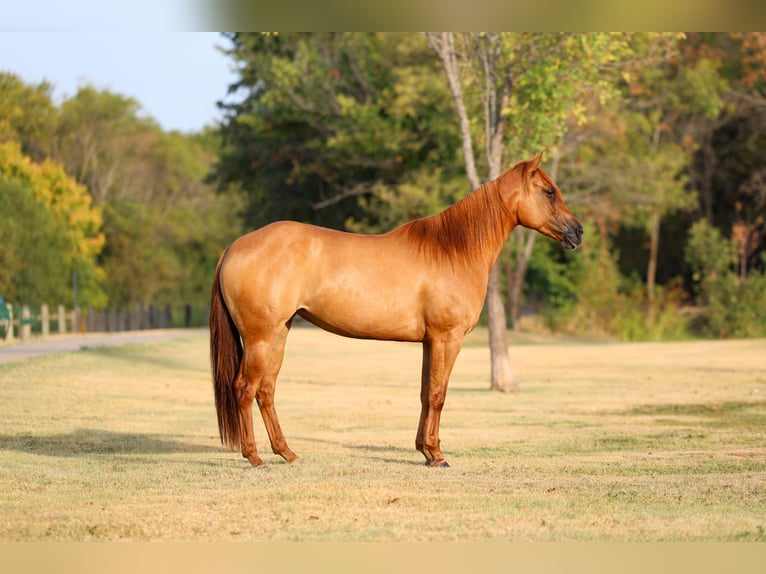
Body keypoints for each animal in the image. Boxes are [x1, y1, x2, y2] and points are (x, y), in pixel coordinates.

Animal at [209, 154, 583, 467]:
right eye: (549, 192)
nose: (578, 231)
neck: (453, 250)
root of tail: (234, 247)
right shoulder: (447, 338)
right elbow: (438, 394)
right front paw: (437, 455)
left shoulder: (430, 342)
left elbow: (425, 393)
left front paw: (425, 450)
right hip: (259, 337)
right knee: (245, 388)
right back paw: (254, 457)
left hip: (278, 333)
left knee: (266, 390)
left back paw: (287, 453)